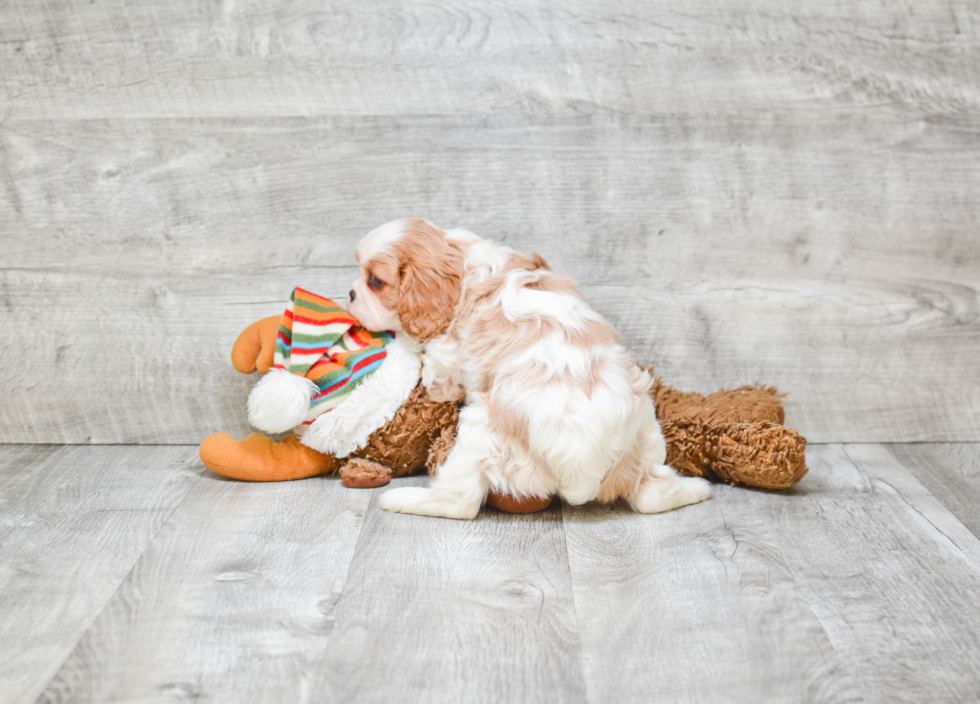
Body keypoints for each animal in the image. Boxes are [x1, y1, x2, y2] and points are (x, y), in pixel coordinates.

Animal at [348, 217, 708, 520]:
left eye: (376, 281)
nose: (350, 293)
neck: (466, 260)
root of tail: (583, 466)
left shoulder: (445, 359)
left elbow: (434, 372)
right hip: (646, 433)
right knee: (653, 494)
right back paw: (697, 490)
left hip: (482, 435)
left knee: (459, 503)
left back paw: (402, 499)